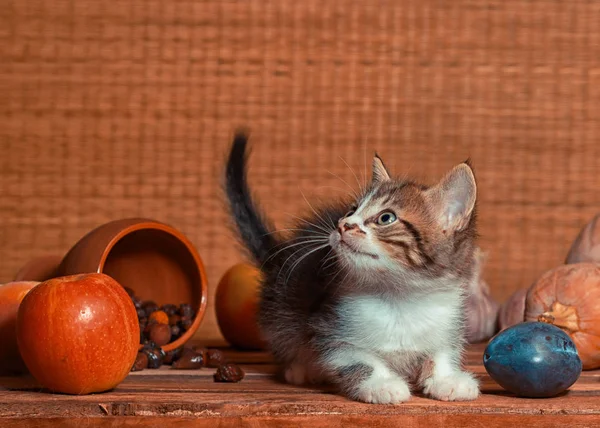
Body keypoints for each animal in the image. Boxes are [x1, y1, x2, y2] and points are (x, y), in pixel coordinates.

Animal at [223, 132, 480, 402]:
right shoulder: (328, 325)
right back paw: (300, 369)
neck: (400, 298)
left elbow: (442, 353)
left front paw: (448, 379)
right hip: (280, 310)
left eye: (386, 217)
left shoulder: (449, 323)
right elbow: (358, 358)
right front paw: (382, 384)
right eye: (352, 210)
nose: (342, 225)